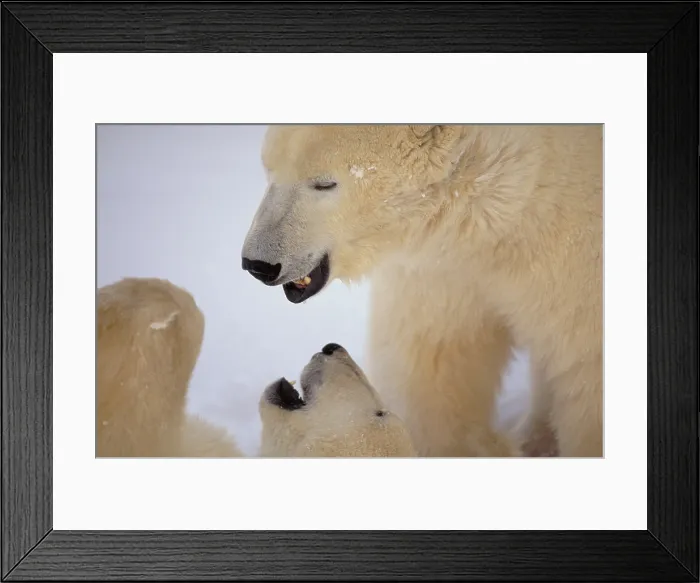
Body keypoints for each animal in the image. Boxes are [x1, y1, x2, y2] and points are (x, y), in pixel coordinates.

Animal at [240, 124, 603, 458]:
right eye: (268, 169)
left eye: (324, 183)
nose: (258, 264)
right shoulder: (441, 269)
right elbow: (435, 358)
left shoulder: (573, 254)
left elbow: (586, 371)